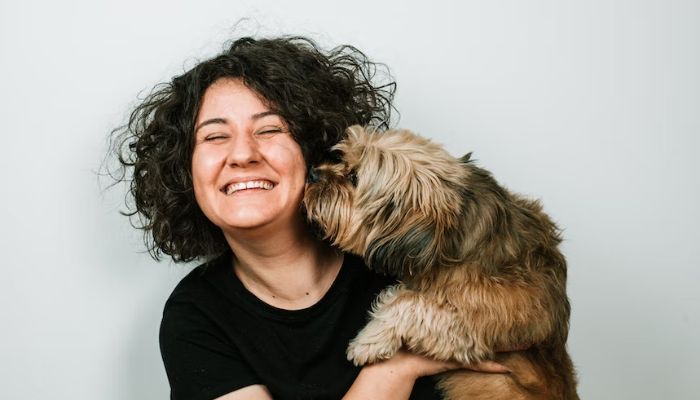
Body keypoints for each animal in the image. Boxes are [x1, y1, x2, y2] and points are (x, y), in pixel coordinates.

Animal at [304, 126, 580, 398]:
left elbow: (411, 304)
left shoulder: (490, 315)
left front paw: (369, 340)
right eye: (341, 158)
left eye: (354, 178)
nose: (313, 174)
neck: (452, 235)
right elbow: (403, 296)